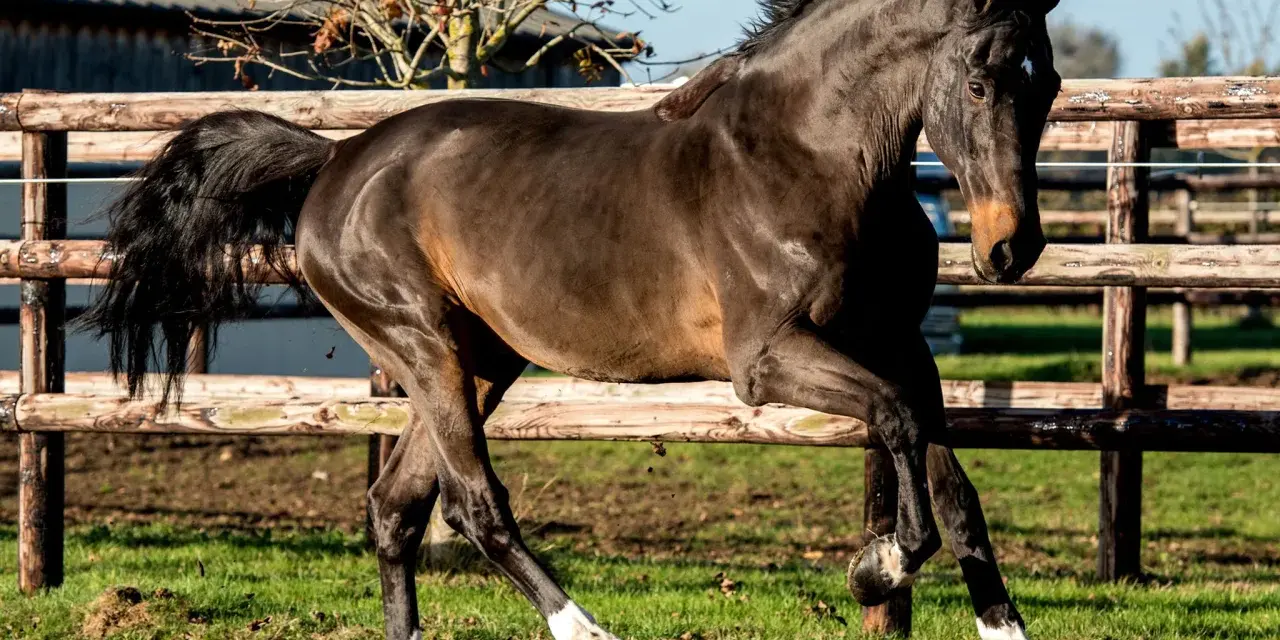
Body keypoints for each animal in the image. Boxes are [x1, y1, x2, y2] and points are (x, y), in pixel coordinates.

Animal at [79, 0, 1061, 637]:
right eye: (979, 82)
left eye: (1047, 82)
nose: (1011, 249)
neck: (808, 158)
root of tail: (334, 158)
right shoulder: (768, 360)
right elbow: (897, 428)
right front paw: (875, 568)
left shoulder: (899, 344)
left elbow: (951, 485)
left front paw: (997, 623)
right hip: (424, 346)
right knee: (474, 508)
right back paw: (582, 627)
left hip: (480, 359)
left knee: (396, 508)